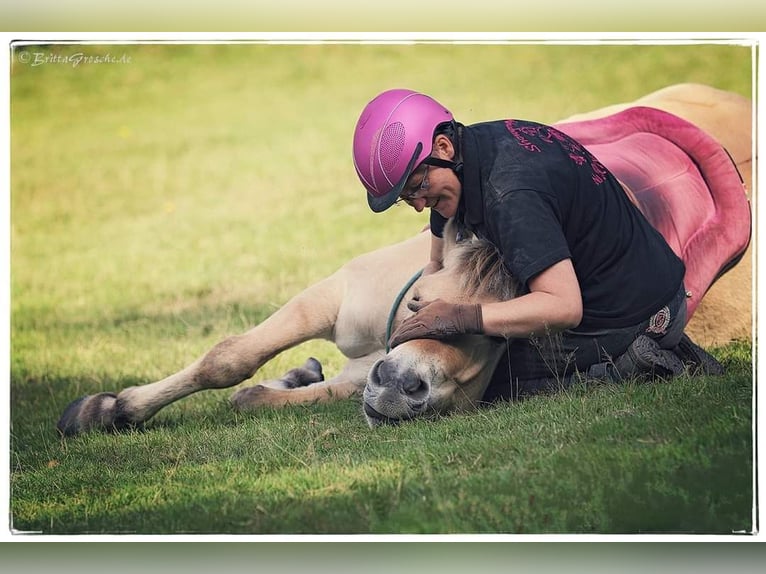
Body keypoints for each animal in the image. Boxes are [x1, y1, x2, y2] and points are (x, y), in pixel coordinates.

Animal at [57, 83, 752, 436]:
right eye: (420, 305)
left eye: (497, 342)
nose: (407, 389)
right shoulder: (330, 296)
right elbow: (230, 361)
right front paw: (108, 410)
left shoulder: (355, 369)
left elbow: (256, 397)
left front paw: (286, 385)